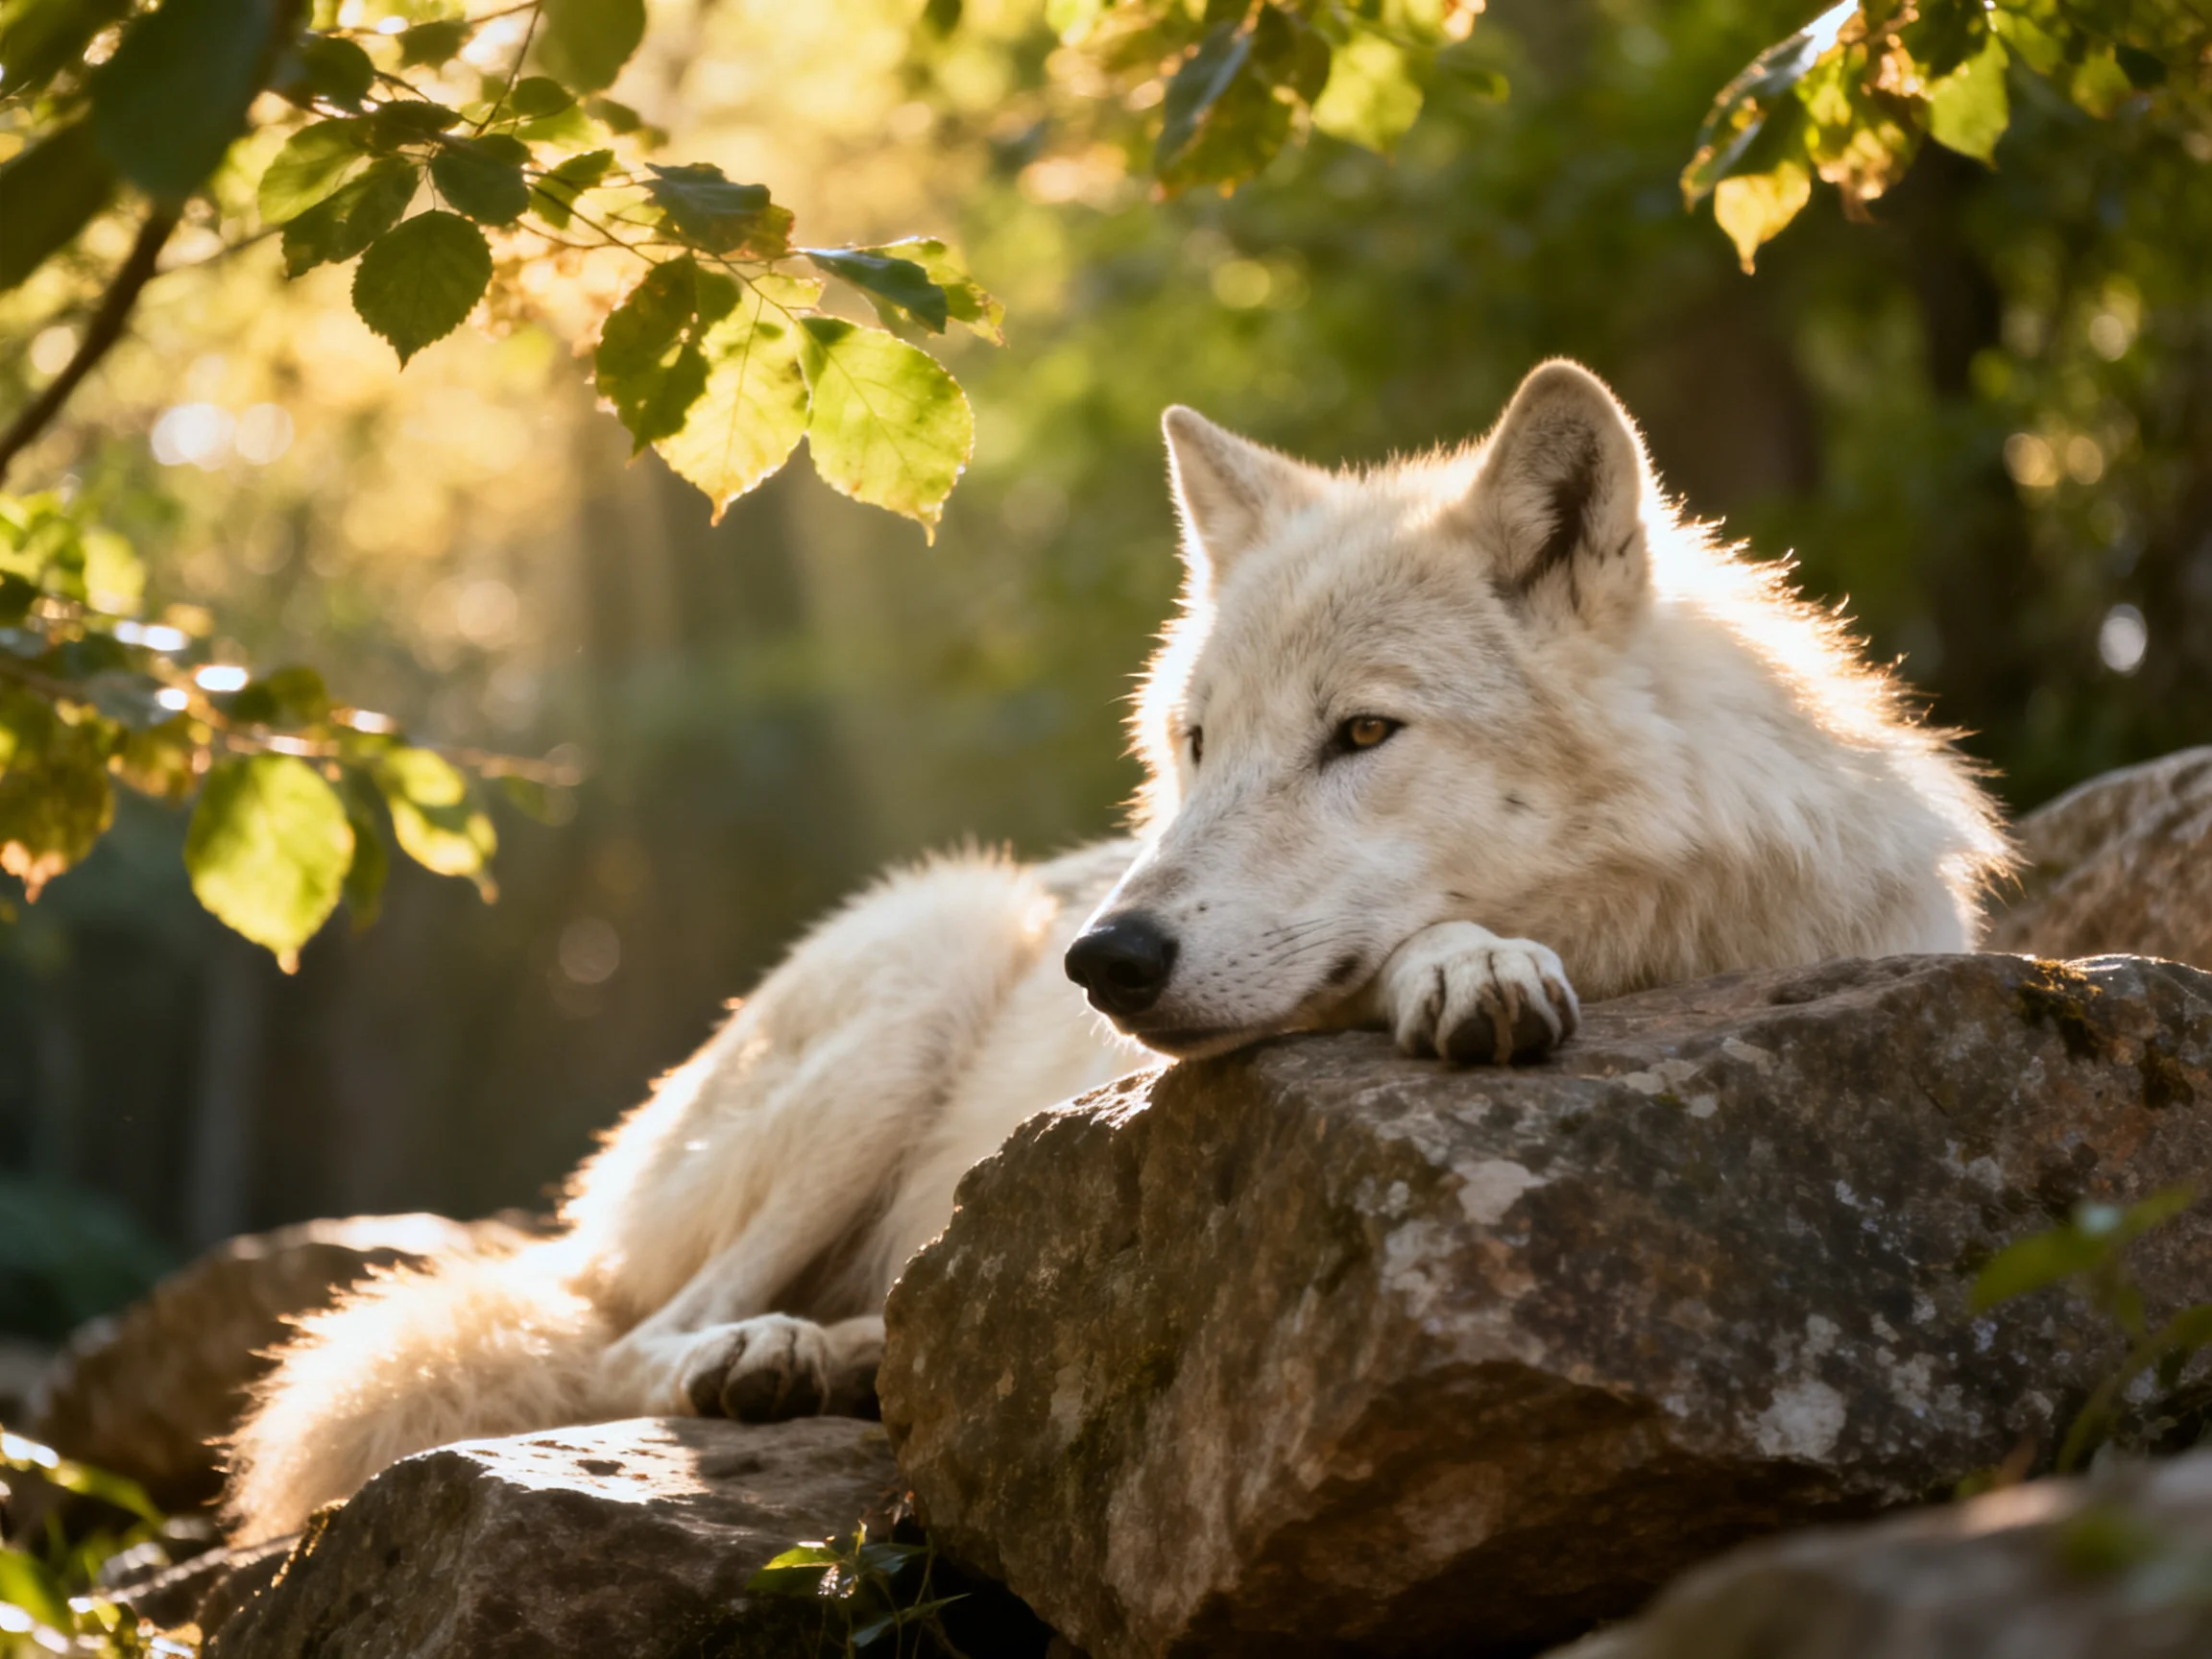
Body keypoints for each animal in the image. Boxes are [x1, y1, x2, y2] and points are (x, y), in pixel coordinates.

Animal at [225, 361, 2007, 1540]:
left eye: (1363, 733)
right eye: (1197, 741)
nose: (1105, 957)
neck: (1677, 913)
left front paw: (1474, 960)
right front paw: (1469, 965)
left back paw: (849, 1357)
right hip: (911, 987)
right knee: (635, 1340)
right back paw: (770, 1355)